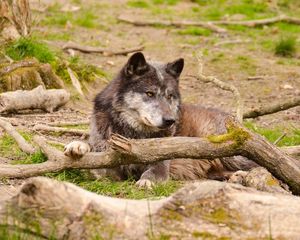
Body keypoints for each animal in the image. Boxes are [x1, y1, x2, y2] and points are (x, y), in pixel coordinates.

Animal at [64, 52, 256, 188]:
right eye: (149, 93)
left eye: (170, 96)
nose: (170, 120)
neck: (131, 132)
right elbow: (91, 148)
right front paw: (78, 145)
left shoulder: (161, 165)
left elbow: (153, 172)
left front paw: (146, 181)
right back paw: (236, 177)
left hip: (232, 152)